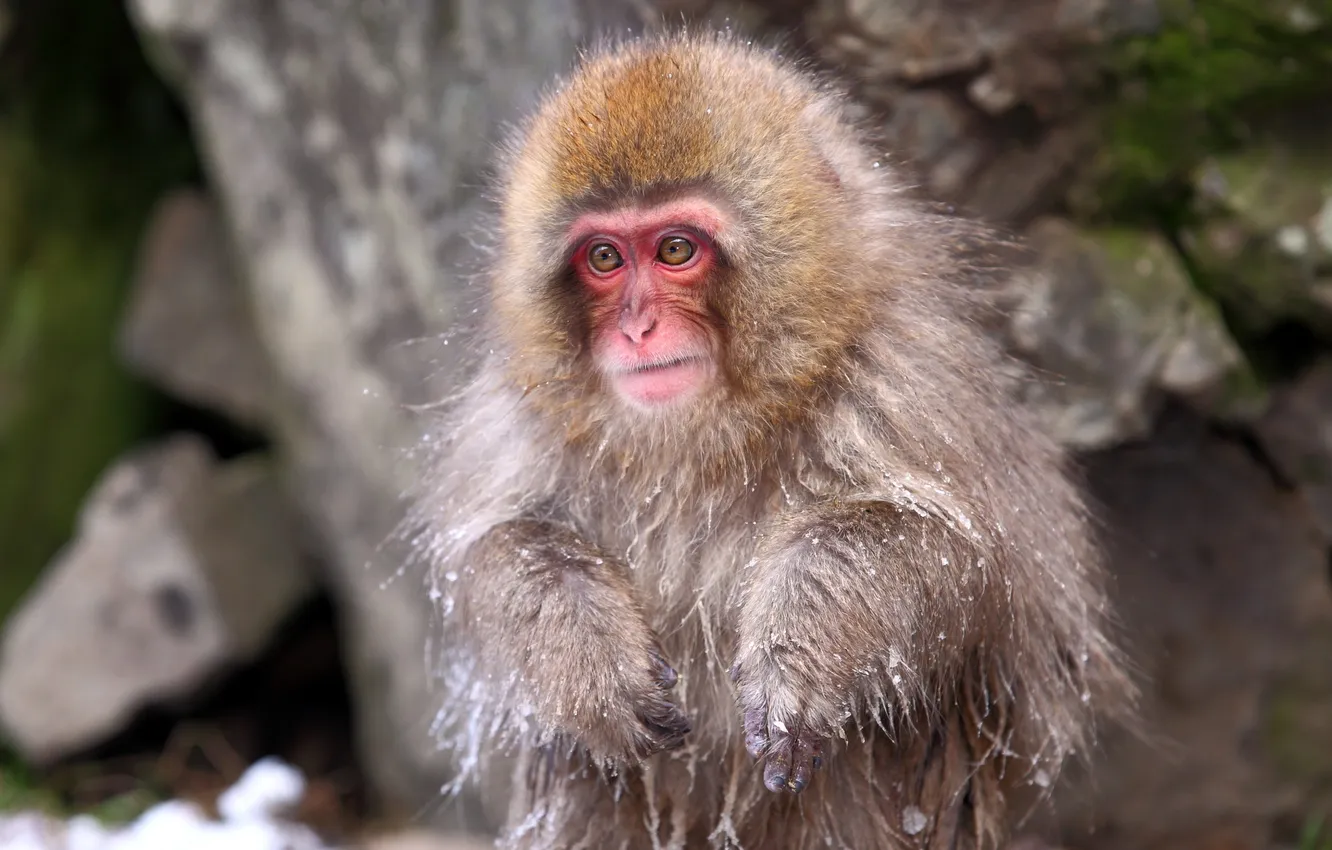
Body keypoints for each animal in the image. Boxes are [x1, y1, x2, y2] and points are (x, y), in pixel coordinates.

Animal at [411, 29, 1132, 850]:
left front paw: (800, 660)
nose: (637, 328)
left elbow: (959, 560)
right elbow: (490, 549)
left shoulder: (907, 381)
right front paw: (584, 657)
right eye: (604, 258)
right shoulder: (524, 412)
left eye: (676, 250)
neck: (707, 435)